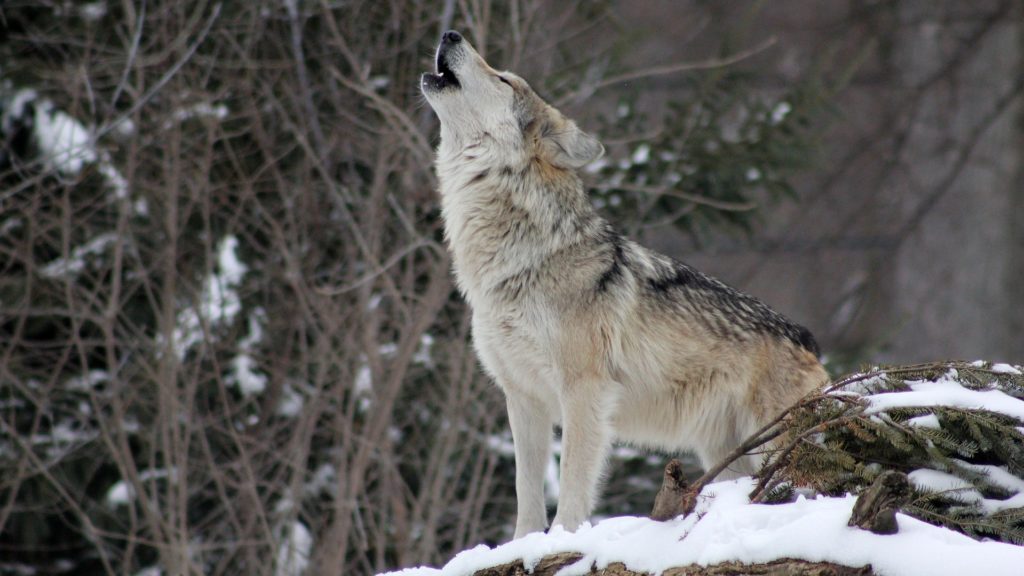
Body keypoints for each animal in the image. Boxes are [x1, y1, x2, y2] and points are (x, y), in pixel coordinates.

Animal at [419, 29, 827, 537]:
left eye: (504, 79)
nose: (450, 33)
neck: (519, 260)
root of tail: (808, 340)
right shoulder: (523, 398)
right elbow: (526, 492)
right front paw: (524, 544)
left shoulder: (584, 391)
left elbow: (572, 483)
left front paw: (562, 539)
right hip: (727, 455)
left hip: (771, 443)